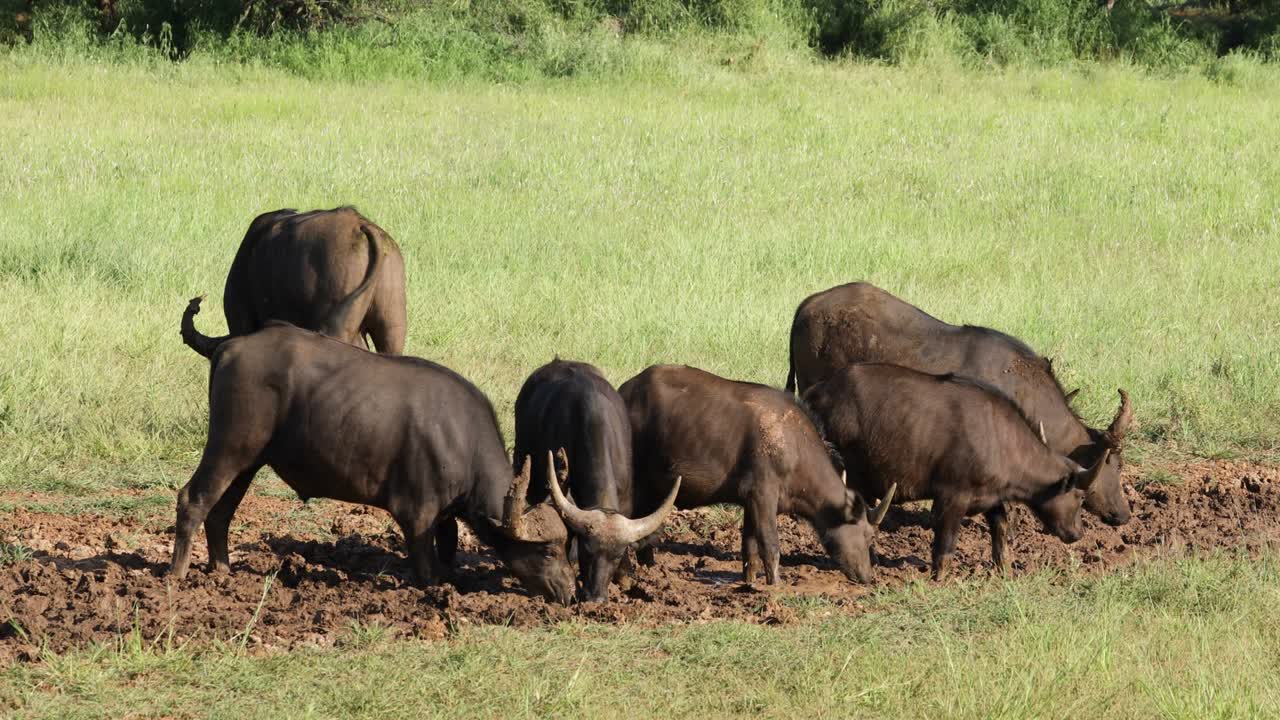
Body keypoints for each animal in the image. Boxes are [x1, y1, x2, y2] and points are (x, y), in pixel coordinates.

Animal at [173, 297, 588, 604]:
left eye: (566, 545)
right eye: (548, 551)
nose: (569, 593)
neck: (461, 441)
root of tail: (229, 345)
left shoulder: (445, 517)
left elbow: (449, 548)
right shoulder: (416, 516)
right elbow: (427, 569)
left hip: (250, 460)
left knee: (220, 512)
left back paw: (222, 572)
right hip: (230, 445)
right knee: (193, 499)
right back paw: (177, 575)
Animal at [619, 364, 895, 585]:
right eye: (868, 536)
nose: (867, 577)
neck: (794, 447)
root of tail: (625, 391)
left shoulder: (750, 502)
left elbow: (749, 548)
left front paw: (750, 582)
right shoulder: (763, 497)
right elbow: (770, 546)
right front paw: (775, 586)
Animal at [803, 363, 1108, 580]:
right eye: (1081, 497)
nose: (1078, 534)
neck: (1000, 439)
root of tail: (818, 391)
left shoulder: (992, 498)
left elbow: (1000, 529)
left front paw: (1004, 569)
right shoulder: (951, 499)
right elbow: (946, 543)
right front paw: (941, 578)